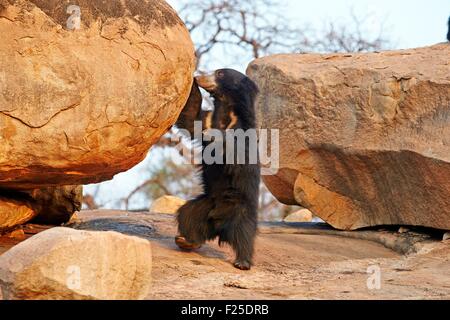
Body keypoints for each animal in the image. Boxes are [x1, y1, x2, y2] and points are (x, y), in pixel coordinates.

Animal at [175, 69, 260, 270]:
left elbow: (236, 156)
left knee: (244, 234)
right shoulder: (207, 119)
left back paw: (242, 262)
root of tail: (219, 227)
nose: (200, 76)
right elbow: (191, 118)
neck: (225, 110)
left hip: (242, 209)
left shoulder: (242, 133)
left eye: (220, 73)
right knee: (187, 215)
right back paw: (187, 240)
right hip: (204, 205)